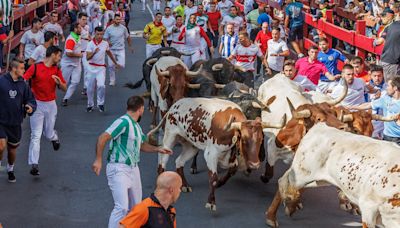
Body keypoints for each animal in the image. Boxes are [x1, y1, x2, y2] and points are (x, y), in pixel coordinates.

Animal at [148, 97, 286, 211]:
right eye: (244, 140)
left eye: (261, 140)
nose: (254, 164)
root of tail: (175, 105)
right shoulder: (211, 154)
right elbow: (213, 178)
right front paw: (211, 202)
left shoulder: (231, 157)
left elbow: (231, 171)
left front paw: (220, 183)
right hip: (170, 137)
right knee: (162, 161)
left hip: (191, 146)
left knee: (179, 161)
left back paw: (185, 185)